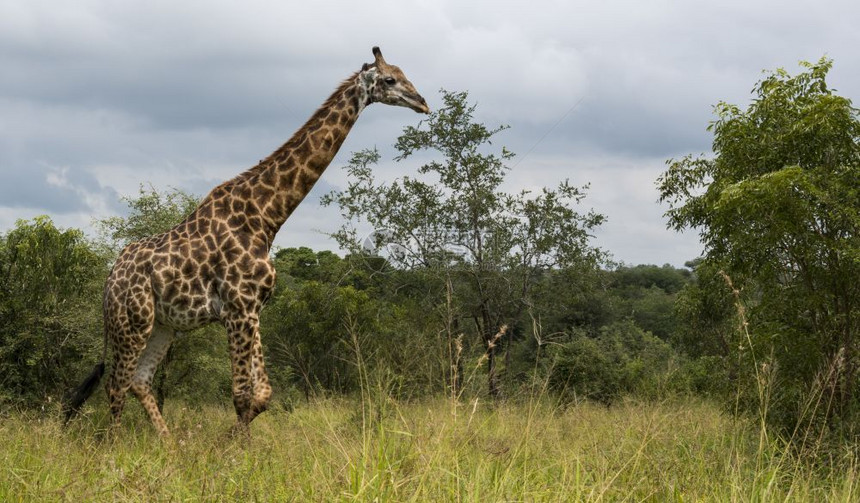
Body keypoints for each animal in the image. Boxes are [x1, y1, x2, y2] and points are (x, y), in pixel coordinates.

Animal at [64, 46, 430, 438]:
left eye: (404, 73)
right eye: (389, 79)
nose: (422, 102)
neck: (265, 217)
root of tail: (109, 279)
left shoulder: (253, 308)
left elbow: (263, 395)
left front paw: (230, 442)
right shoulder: (238, 308)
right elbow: (242, 396)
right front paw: (235, 448)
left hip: (164, 325)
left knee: (138, 380)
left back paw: (169, 444)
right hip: (132, 321)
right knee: (116, 384)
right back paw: (116, 445)